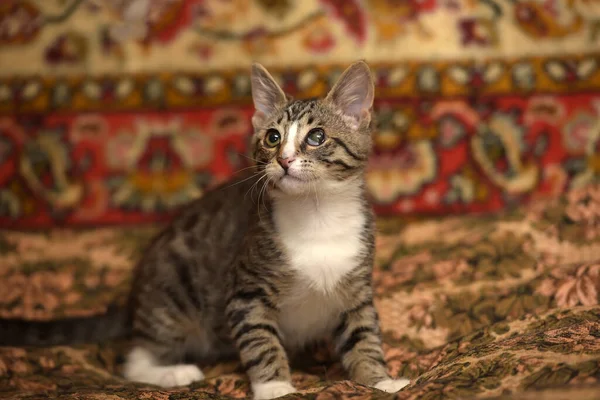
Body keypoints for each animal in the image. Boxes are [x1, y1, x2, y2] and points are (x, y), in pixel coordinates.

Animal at [0, 61, 408, 398]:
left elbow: (364, 337)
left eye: (317, 137)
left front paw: (381, 379)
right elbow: (262, 341)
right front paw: (275, 387)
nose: (284, 160)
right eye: (273, 138)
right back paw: (173, 372)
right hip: (174, 289)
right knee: (134, 359)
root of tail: (135, 297)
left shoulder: (356, 290)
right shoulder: (245, 291)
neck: (317, 213)